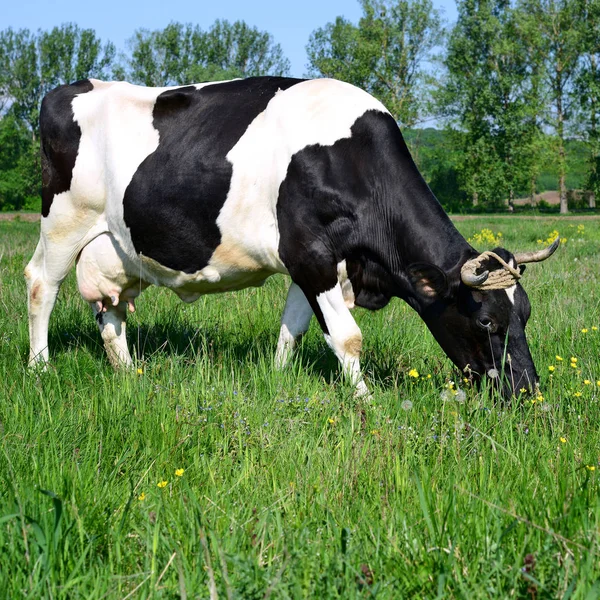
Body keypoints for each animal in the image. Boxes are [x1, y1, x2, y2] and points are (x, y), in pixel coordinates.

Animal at [24, 77, 556, 400]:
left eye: (526, 313)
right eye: (486, 321)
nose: (528, 392)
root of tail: (71, 87)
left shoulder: (313, 263)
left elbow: (292, 329)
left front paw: (278, 379)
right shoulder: (311, 255)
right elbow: (348, 336)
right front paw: (366, 401)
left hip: (114, 247)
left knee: (110, 311)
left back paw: (127, 373)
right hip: (63, 222)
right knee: (40, 285)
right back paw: (40, 368)